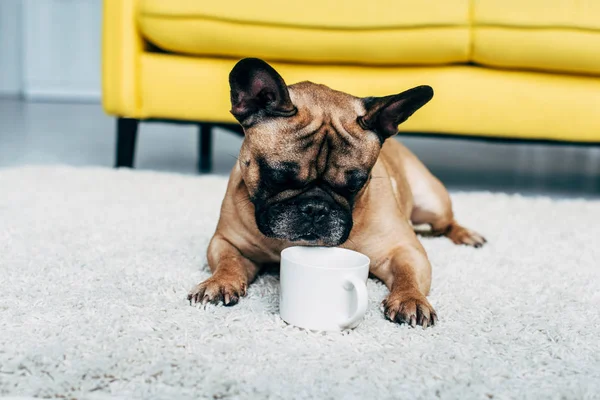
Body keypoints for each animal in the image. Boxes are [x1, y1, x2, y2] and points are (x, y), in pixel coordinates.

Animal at [185, 59, 486, 328]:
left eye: (355, 184)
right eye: (278, 177)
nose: (315, 208)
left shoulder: (405, 250)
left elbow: (408, 275)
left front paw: (410, 299)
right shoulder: (227, 242)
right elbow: (228, 263)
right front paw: (218, 282)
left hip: (432, 202)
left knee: (446, 223)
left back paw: (467, 235)